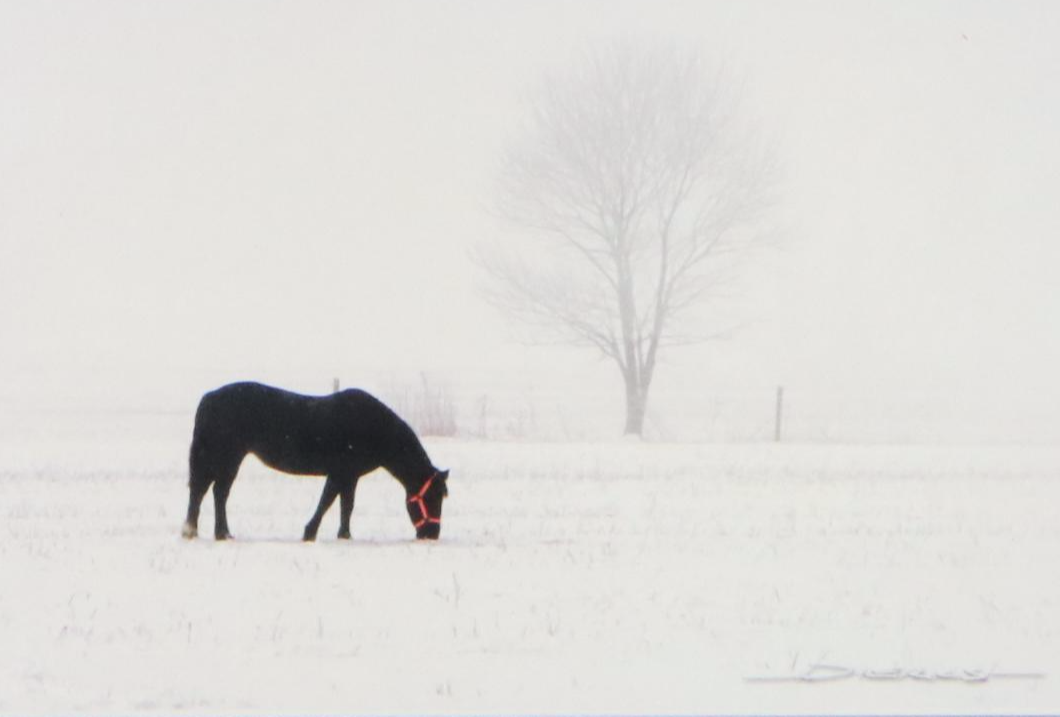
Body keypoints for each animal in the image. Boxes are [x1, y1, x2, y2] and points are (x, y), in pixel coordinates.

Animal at [181, 382, 449, 541]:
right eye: (433, 496)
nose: (432, 534)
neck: (372, 427)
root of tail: (208, 398)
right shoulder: (339, 474)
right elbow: (327, 502)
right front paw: (309, 533)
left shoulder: (350, 477)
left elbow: (346, 505)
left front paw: (344, 535)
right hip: (227, 457)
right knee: (211, 491)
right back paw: (209, 532)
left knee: (212, 492)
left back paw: (216, 532)